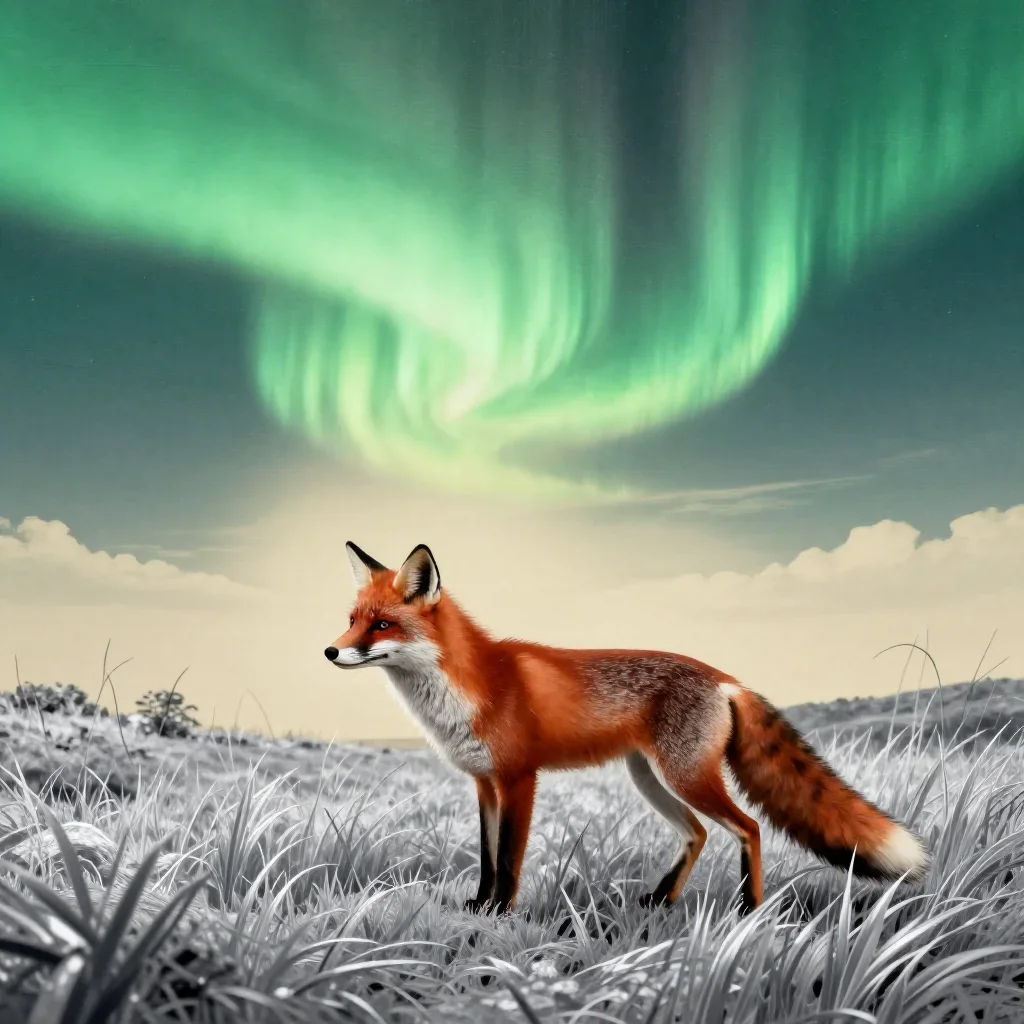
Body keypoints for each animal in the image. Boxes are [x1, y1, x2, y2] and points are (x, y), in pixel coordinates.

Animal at [325, 541, 929, 916]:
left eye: (382, 624)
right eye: (352, 620)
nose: (330, 651)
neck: (468, 686)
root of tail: (724, 678)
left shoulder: (519, 778)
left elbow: (510, 859)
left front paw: (501, 914)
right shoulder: (483, 783)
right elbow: (486, 857)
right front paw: (479, 906)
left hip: (685, 777)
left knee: (749, 827)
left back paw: (748, 912)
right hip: (650, 780)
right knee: (699, 832)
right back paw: (662, 900)